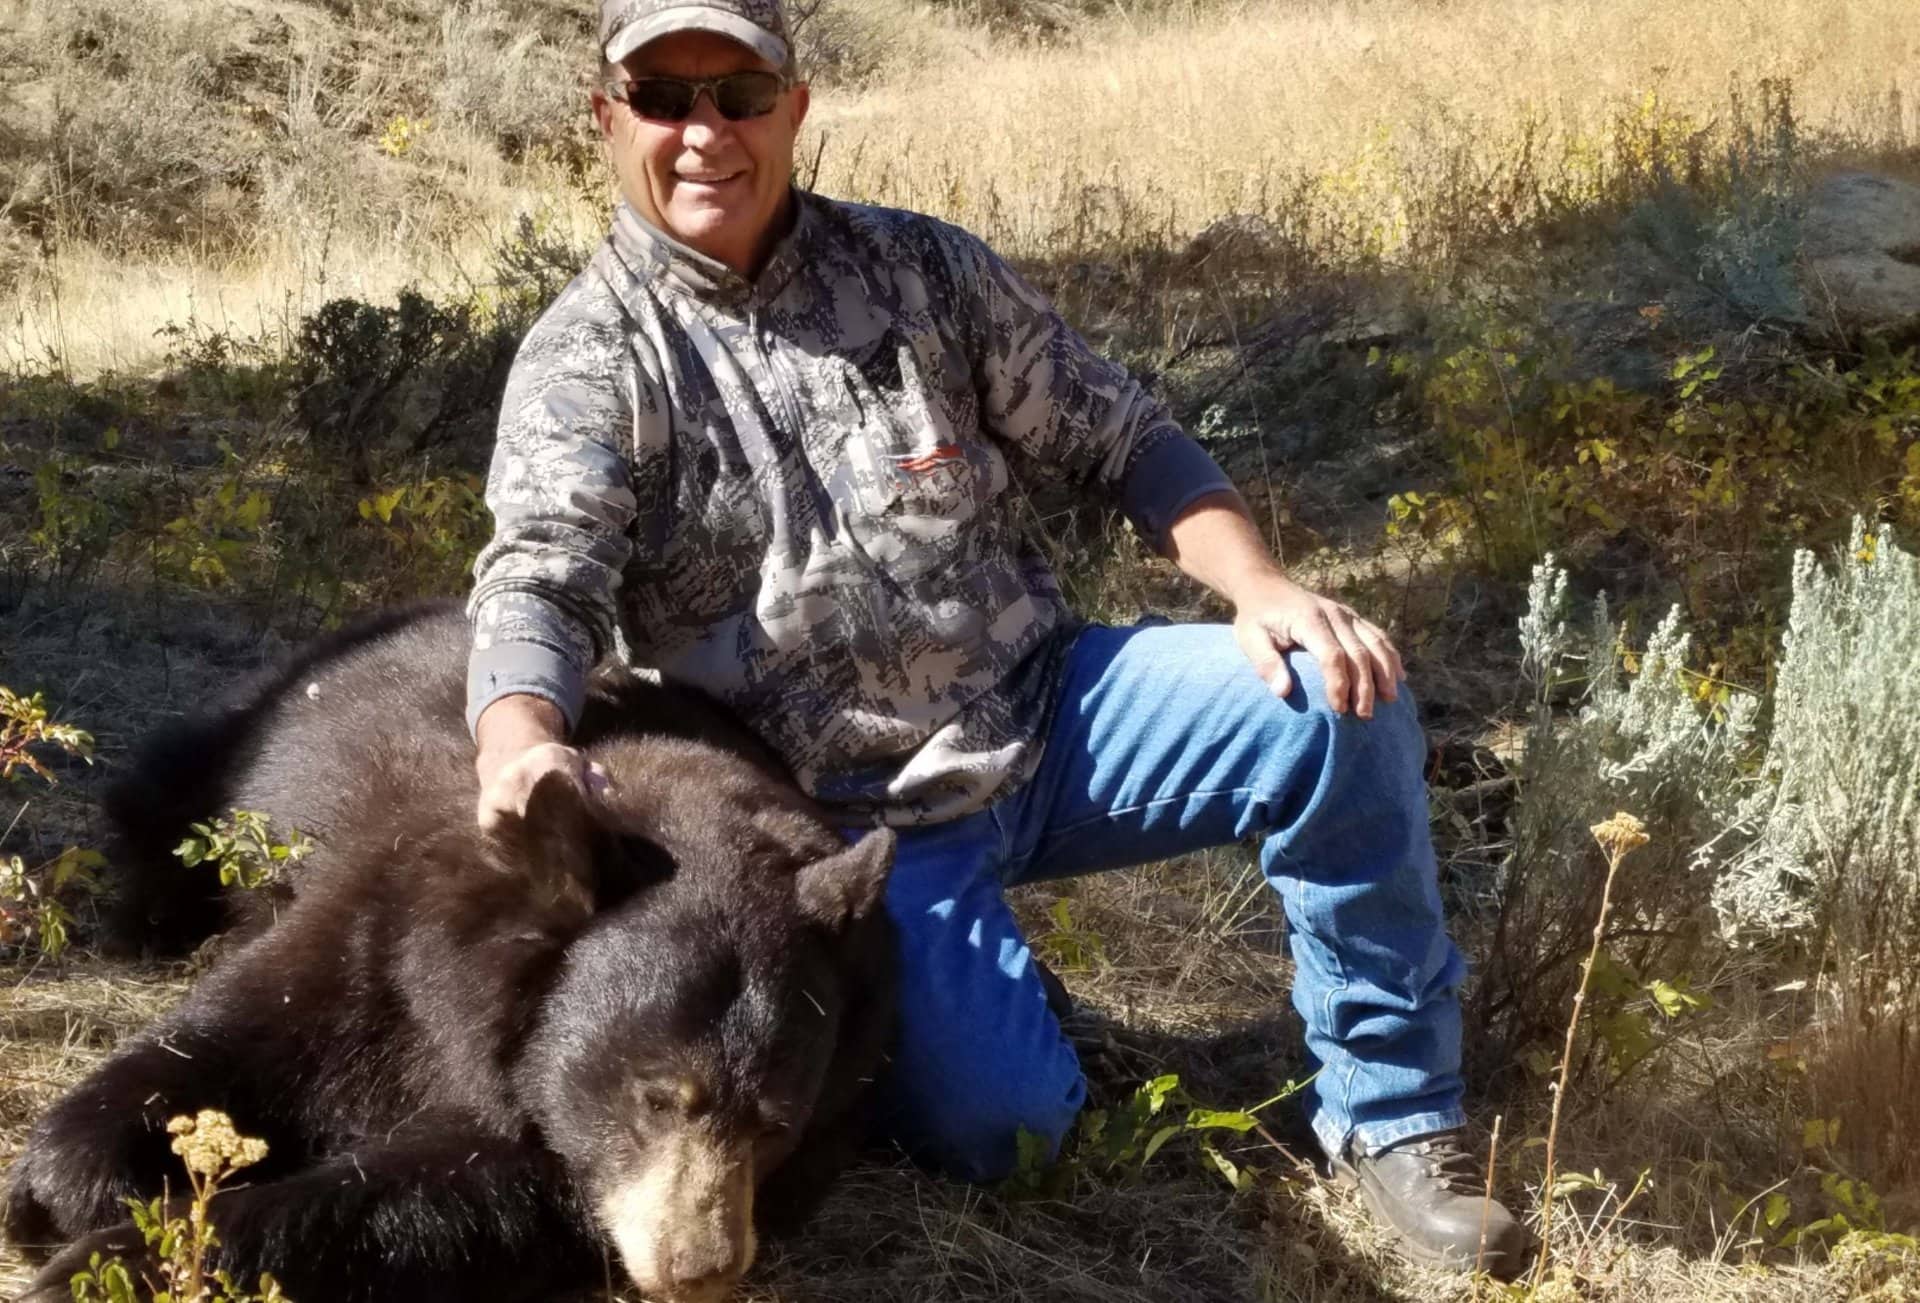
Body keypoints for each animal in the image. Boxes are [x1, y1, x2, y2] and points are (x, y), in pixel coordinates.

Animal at [5, 603, 897, 1303]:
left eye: (777, 1123)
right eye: (658, 1096)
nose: (698, 1266)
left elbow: (447, 1197)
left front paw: (124, 1255)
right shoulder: (392, 921)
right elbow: (250, 1029)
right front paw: (66, 1190)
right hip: (239, 744)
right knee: (162, 806)